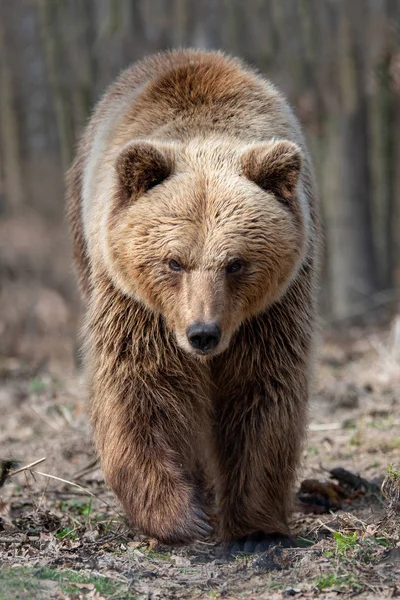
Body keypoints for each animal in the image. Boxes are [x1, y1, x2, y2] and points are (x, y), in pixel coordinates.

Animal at [67, 48, 320, 552]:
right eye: (174, 261)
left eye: (236, 263)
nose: (203, 333)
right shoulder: (138, 308)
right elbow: (141, 389)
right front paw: (181, 516)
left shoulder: (271, 313)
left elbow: (261, 393)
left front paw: (255, 524)